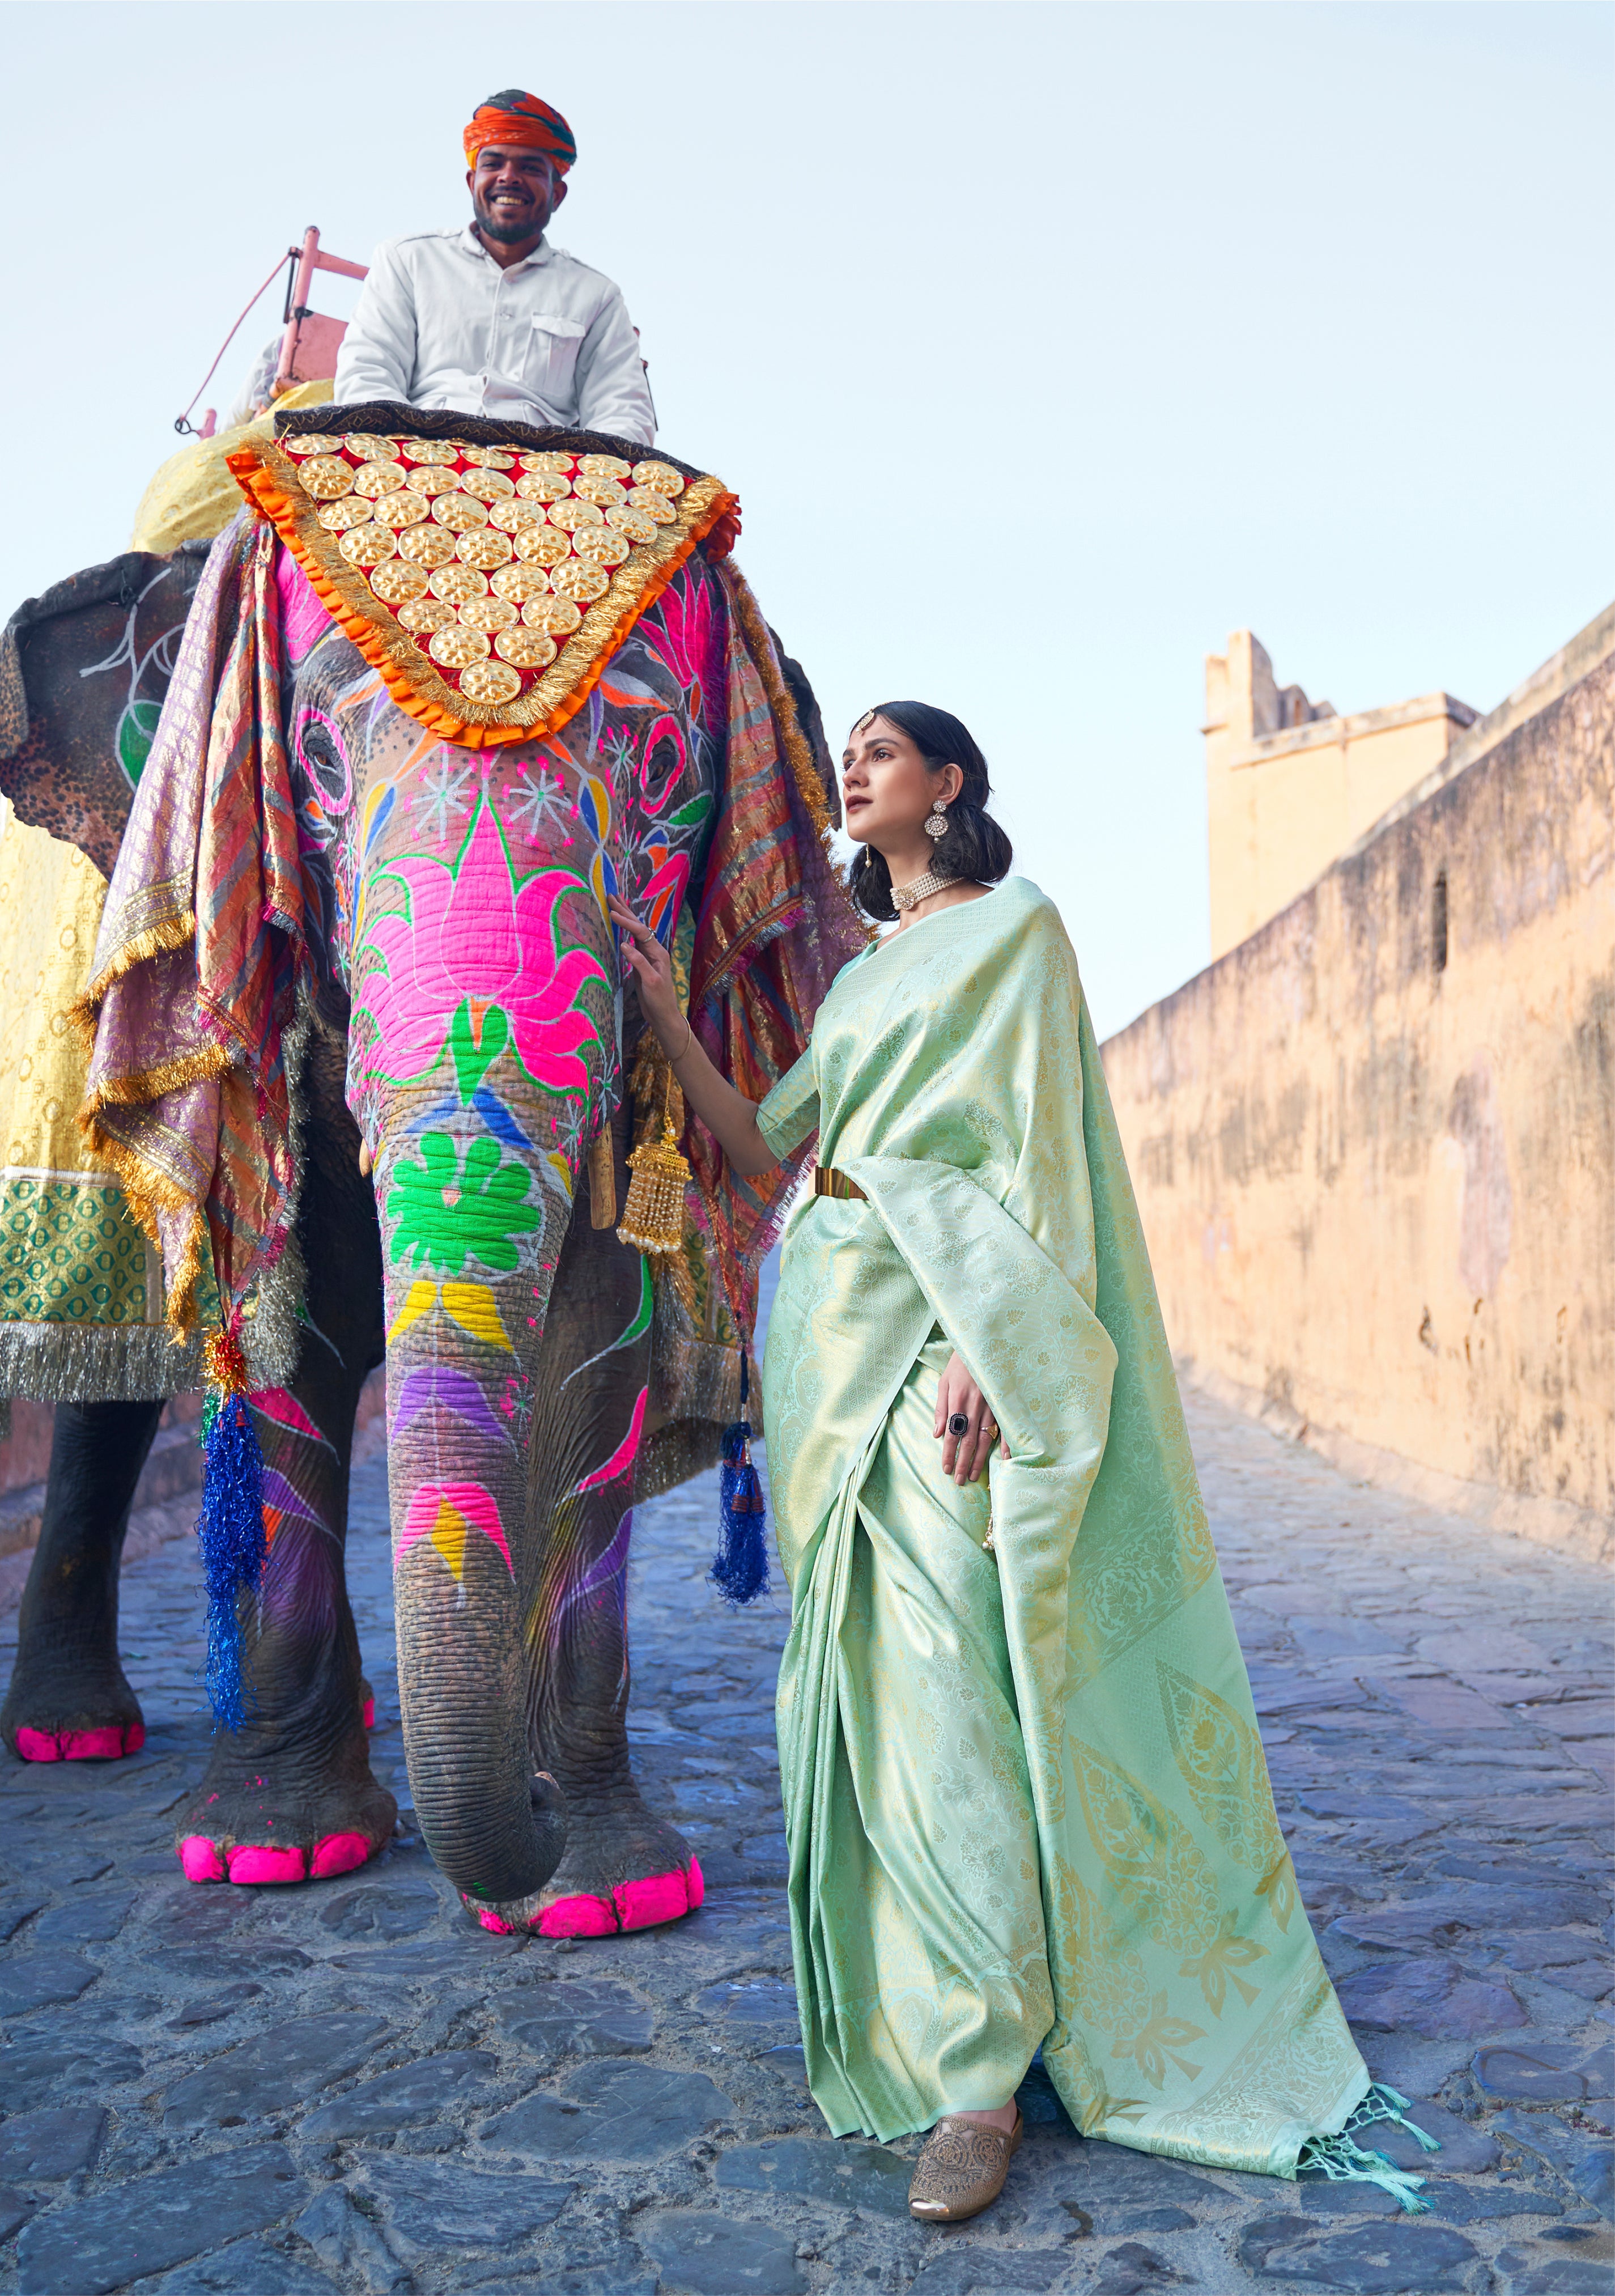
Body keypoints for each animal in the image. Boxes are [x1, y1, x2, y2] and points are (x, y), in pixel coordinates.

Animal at [0, 418, 858, 1938]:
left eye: (658, 768)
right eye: (311, 762)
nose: (519, 1868)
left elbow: (599, 1340)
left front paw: (610, 1893)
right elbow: (288, 1339)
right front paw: (274, 1855)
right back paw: (83, 1740)